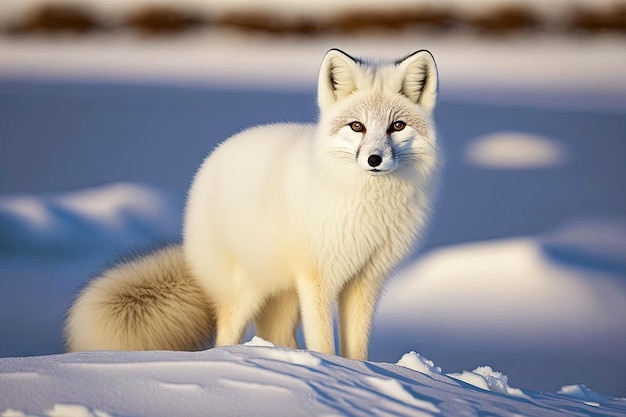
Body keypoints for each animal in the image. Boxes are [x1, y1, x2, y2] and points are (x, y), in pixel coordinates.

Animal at [66, 48, 438, 360]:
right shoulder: (317, 277)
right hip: (246, 292)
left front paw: (358, 374)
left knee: (278, 335)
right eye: (357, 126)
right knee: (225, 335)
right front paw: (332, 369)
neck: (366, 204)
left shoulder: (366, 281)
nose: (374, 159)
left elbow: (357, 350)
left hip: (282, 294)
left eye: (397, 126)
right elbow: (323, 343)